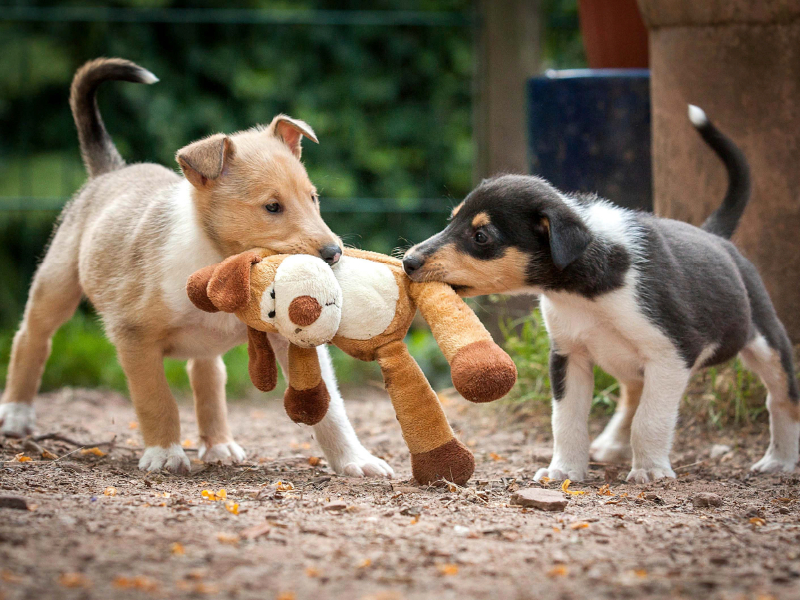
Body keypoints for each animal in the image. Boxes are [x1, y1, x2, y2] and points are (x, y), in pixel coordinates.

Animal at [0, 57, 394, 478]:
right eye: (272, 206)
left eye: (313, 197)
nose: (334, 253)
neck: (217, 259)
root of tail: (110, 171)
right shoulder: (133, 336)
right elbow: (156, 398)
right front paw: (164, 454)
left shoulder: (289, 337)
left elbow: (332, 409)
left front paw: (357, 461)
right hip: (56, 283)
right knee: (31, 338)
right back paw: (16, 414)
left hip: (203, 342)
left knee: (207, 377)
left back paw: (219, 445)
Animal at [406, 106, 800, 482]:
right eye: (451, 220)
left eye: (481, 236)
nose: (408, 261)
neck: (585, 292)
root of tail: (716, 237)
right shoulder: (569, 355)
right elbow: (567, 421)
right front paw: (565, 470)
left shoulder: (672, 355)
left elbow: (651, 420)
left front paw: (650, 470)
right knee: (631, 395)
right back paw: (611, 444)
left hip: (767, 342)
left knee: (781, 399)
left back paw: (779, 460)